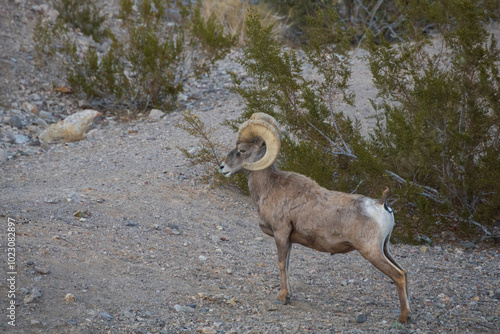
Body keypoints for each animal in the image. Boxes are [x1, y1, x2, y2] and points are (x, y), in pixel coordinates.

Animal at [219, 112, 410, 324]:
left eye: (242, 150)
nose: (222, 167)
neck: (269, 188)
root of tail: (382, 205)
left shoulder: (280, 233)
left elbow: (281, 264)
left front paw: (282, 298)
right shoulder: (289, 240)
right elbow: (287, 265)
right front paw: (289, 296)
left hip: (371, 252)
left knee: (398, 275)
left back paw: (403, 317)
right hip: (384, 249)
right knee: (404, 272)